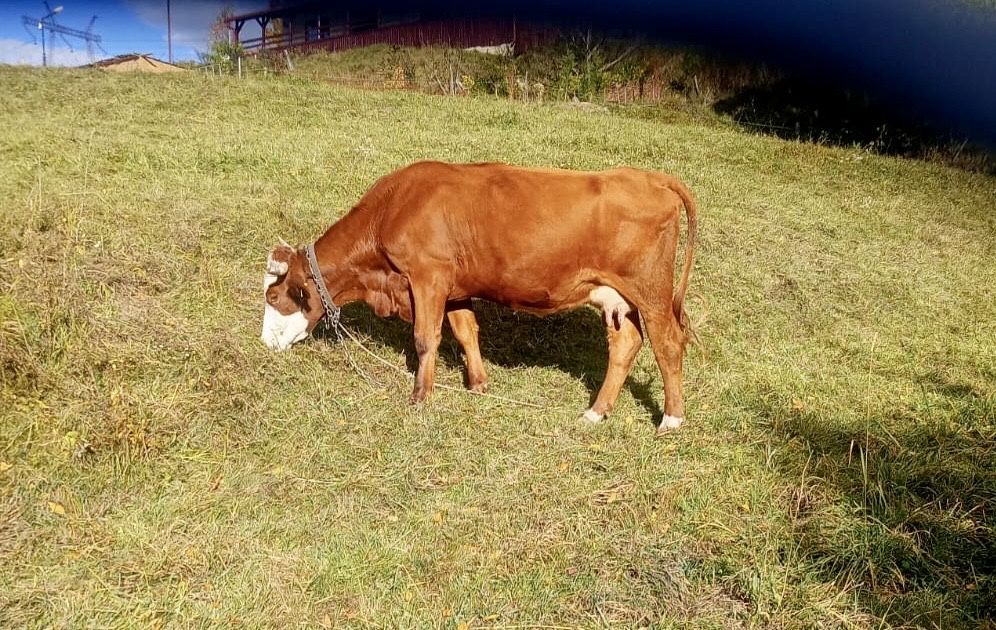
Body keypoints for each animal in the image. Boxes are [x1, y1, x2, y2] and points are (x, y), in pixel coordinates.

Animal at [261, 161, 697, 433]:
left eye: (275, 297)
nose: (265, 343)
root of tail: (651, 178)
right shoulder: (454, 288)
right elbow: (465, 331)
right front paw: (477, 385)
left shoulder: (428, 276)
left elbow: (426, 338)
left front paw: (420, 398)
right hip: (620, 297)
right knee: (626, 344)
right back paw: (595, 412)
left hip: (651, 292)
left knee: (668, 344)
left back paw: (671, 420)